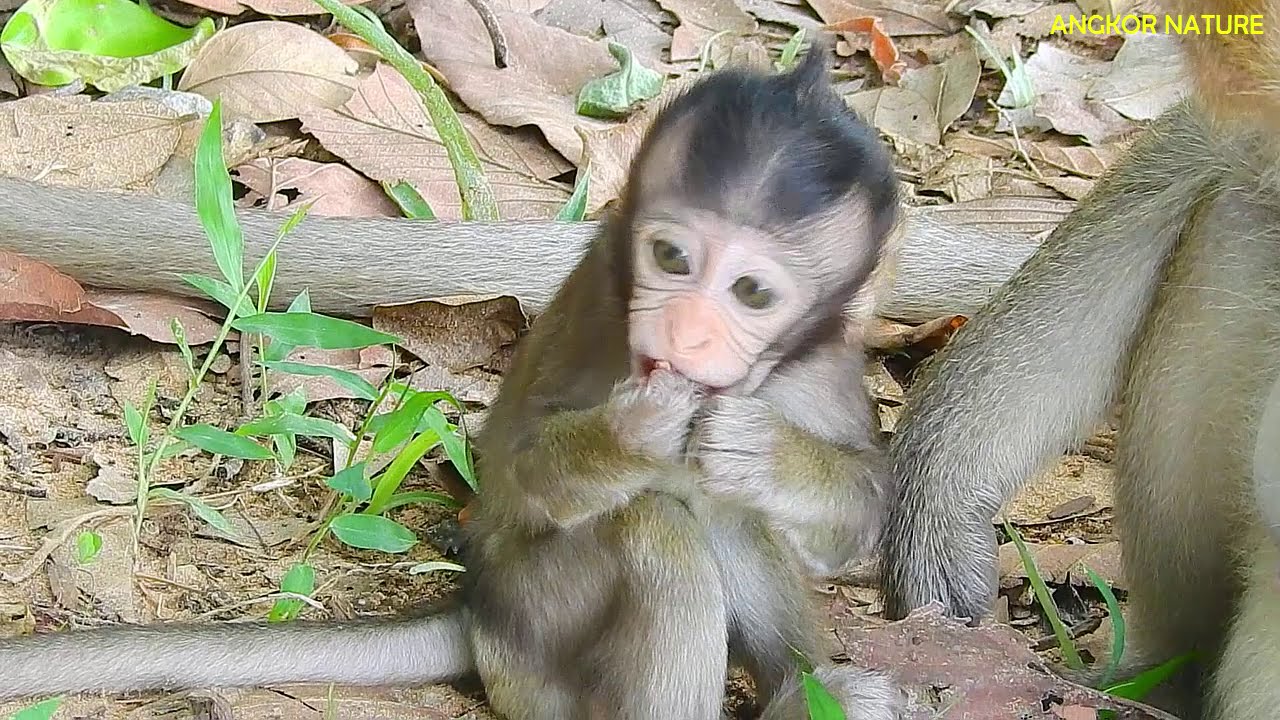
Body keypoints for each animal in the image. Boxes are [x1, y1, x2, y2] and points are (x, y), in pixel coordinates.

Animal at [0, 47, 905, 720]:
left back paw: (800, 692)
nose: (685, 334)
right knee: (657, 524)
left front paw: (761, 448)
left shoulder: (822, 356)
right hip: (535, 640)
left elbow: (859, 509)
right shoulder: (599, 314)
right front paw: (633, 431)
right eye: (672, 257)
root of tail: (482, 613)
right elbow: (520, 467)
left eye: (750, 291)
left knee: (724, 507)